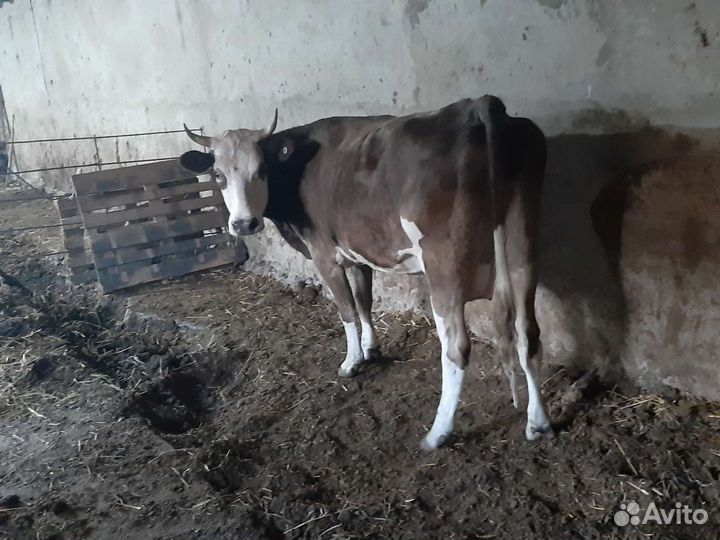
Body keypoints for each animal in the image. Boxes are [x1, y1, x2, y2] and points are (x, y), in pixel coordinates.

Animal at [179, 96, 552, 449]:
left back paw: (438, 433)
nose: (244, 224)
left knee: (457, 347)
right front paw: (372, 349)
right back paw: (538, 422)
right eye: (218, 175)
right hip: (523, 249)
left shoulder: (324, 255)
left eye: (261, 170)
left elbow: (346, 310)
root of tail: (478, 107)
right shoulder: (357, 254)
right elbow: (364, 302)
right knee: (528, 332)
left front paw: (352, 362)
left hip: (443, 264)